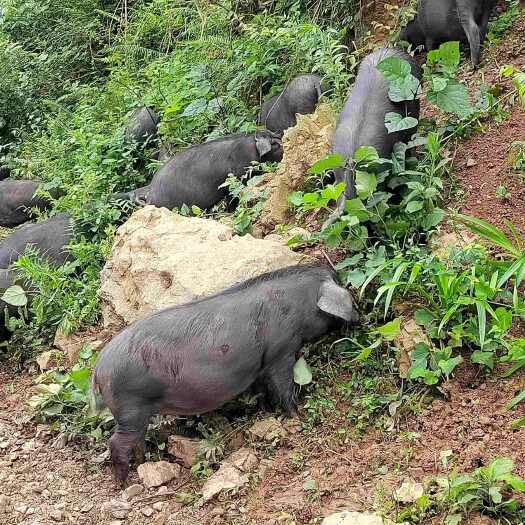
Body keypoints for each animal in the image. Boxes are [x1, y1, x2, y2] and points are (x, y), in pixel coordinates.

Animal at [92, 264, 358, 482]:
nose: (360, 317)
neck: (298, 303)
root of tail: (98, 368)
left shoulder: (260, 366)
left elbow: (263, 390)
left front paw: (266, 411)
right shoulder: (282, 351)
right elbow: (283, 386)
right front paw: (298, 414)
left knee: (135, 439)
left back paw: (142, 461)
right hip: (130, 406)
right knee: (116, 442)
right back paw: (123, 481)